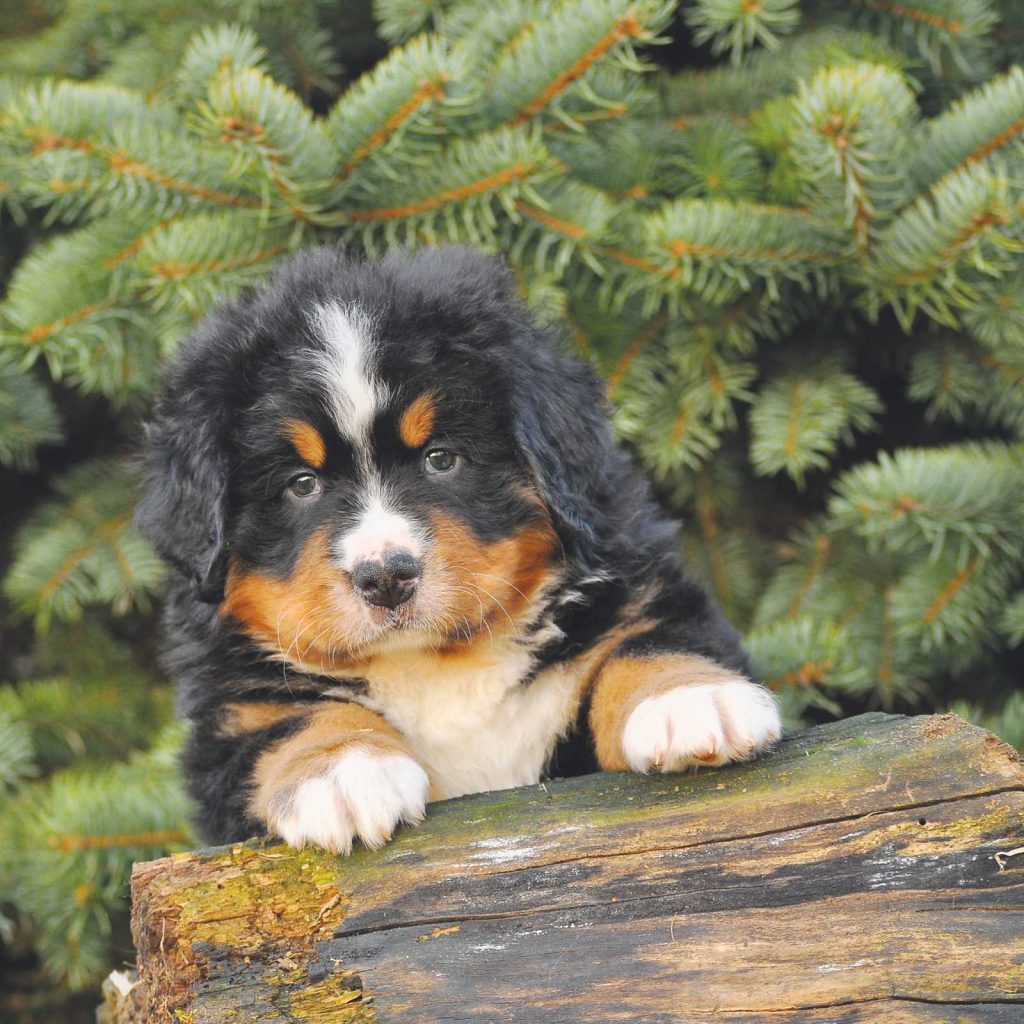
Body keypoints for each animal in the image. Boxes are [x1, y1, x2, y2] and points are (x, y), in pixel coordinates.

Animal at [134, 243, 774, 851]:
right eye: (301, 484)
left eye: (440, 458)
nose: (385, 576)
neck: (438, 665)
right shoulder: (232, 713)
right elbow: (293, 719)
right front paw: (343, 771)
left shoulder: (633, 592)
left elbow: (645, 643)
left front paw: (690, 699)